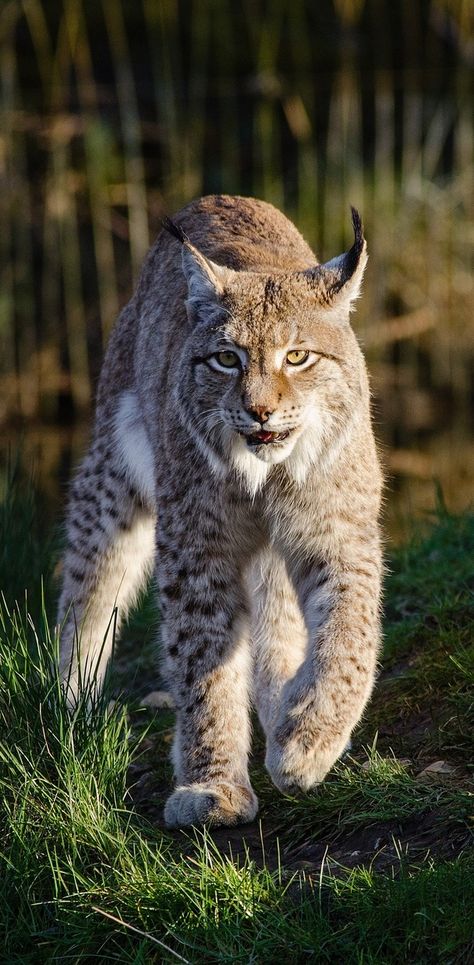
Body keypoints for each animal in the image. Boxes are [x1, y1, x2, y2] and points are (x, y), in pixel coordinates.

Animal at [56, 194, 382, 828]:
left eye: (297, 357)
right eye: (226, 359)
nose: (259, 412)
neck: (266, 475)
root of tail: (221, 197)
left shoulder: (338, 534)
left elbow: (348, 637)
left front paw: (307, 740)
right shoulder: (195, 546)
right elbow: (202, 660)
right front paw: (213, 784)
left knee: (279, 617)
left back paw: (281, 713)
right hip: (114, 470)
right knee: (90, 581)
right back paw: (64, 700)